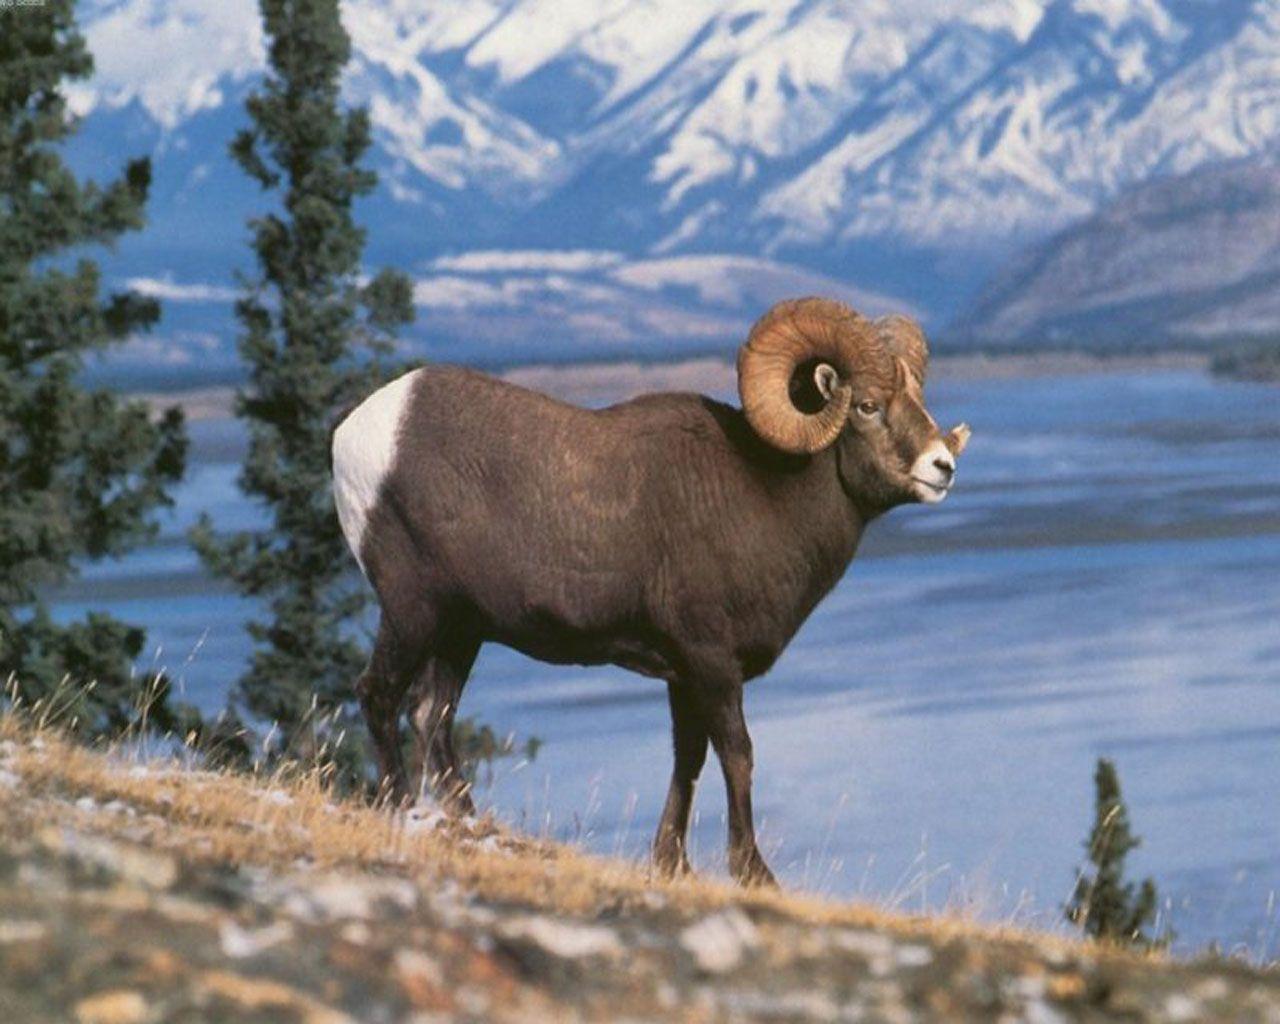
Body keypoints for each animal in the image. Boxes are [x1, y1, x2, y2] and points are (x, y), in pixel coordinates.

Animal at [331, 297, 970, 886]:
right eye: (867, 406)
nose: (942, 467)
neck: (765, 495)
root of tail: (353, 434)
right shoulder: (712, 663)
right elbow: (737, 755)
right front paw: (753, 873)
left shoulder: (684, 675)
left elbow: (688, 760)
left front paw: (672, 864)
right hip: (413, 611)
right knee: (379, 695)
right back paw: (398, 809)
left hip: (461, 631)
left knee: (431, 714)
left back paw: (468, 822)